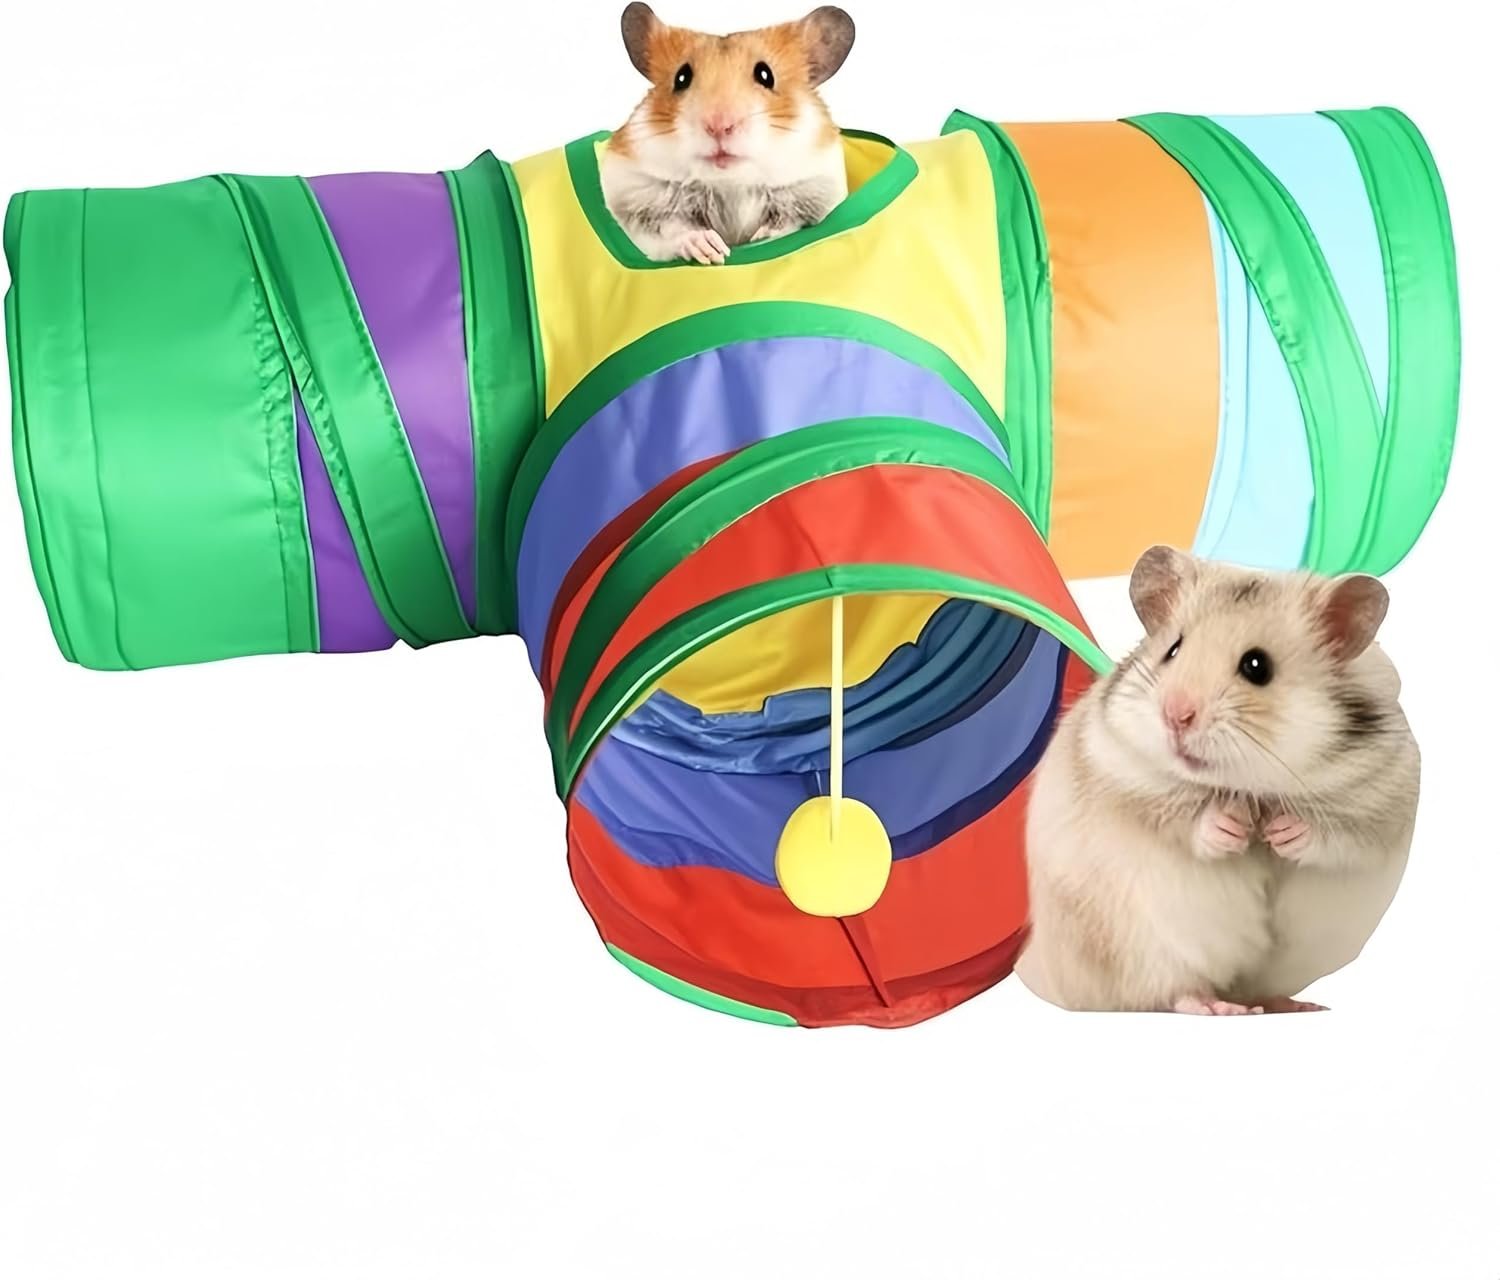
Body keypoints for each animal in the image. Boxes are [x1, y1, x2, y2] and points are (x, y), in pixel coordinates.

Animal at [601, 3, 855, 264]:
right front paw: (711, 251)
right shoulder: (641, 202)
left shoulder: (814, 189)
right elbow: (674, 229)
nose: (718, 126)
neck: (731, 184)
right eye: (681, 77)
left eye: (766, 75)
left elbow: (789, 223)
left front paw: (761, 238)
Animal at [1015, 545, 1420, 1015]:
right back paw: (1217, 1007)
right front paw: (1231, 828)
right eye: (1172, 650)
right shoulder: (1124, 774)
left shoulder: (1381, 802)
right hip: (1147, 946)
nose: (1175, 714)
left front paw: (1282, 832)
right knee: (1173, 991)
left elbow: (1336, 837)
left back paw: (1295, 1005)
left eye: (1257, 666)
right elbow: (1182, 819)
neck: (1252, 789)